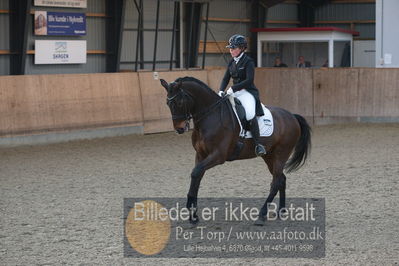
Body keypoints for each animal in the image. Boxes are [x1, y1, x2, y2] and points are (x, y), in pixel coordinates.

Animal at [160, 76, 312, 225]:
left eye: (180, 102)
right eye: (167, 103)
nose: (179, 129)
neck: (210, 116)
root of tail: (292, 116)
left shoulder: (218, 156)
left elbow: (196, 172)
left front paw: (191, 210)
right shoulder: (200, 154)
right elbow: (196, 176)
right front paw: (193, 215)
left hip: (281, 154)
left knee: (276, 182)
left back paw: (261, 215)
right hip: (269, 156)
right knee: (281, 179)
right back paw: (281, 211)